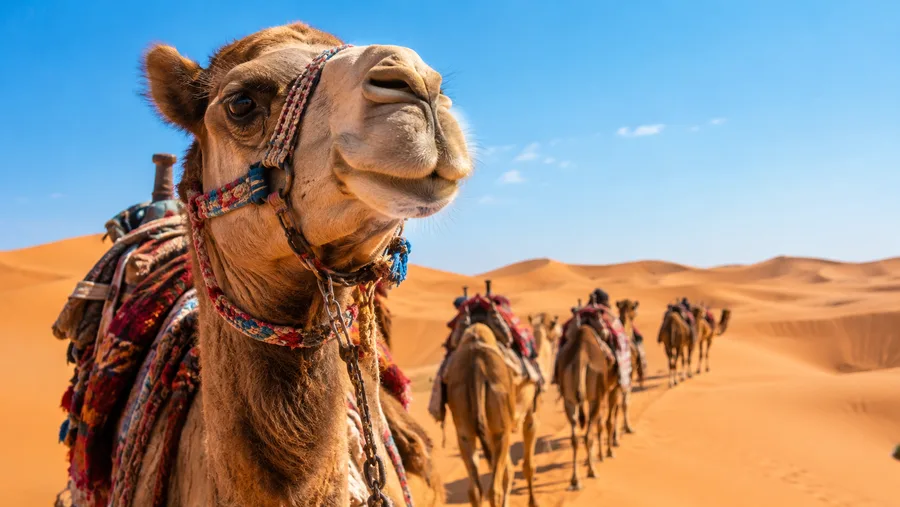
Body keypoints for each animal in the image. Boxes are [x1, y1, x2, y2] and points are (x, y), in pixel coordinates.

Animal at [444, 299, 540, 507]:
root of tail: (476, 363)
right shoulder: (530, 413)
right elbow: (527, 465)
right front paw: (533, 502)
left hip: (464, 425)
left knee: (475, 489)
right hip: (500, 429)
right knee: (493, 488)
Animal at [555, 308, 620, 491]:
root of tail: (581, 357)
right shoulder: (608, 391)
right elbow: (604, 423)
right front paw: (605, 453)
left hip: (569, 399)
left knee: (575, 436)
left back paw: (575, 480)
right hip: (596, 397)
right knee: (589, 433)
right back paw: (592, 471)